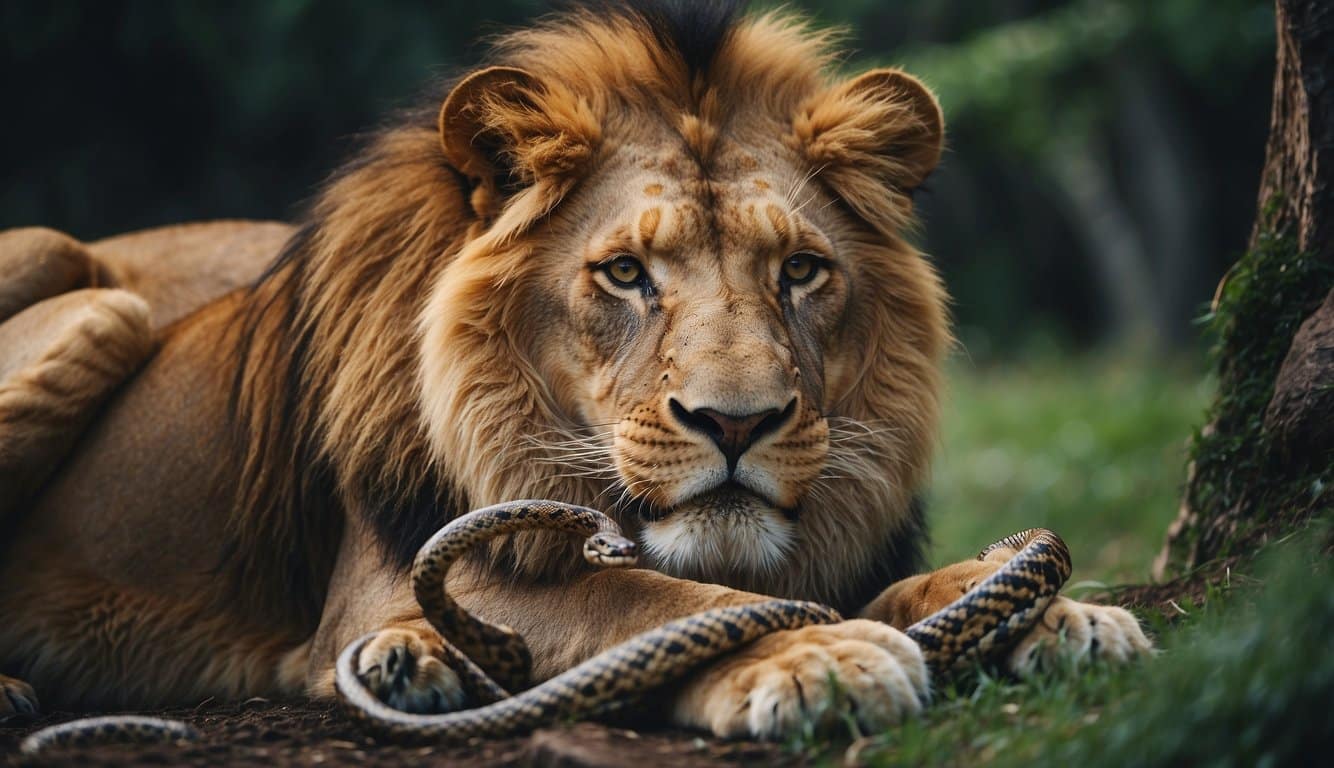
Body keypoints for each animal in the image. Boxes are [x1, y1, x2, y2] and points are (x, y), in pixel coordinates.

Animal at [0, 1, 1150, 737]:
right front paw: (813, 655)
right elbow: (642, 601)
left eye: (800, 270)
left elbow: (891, 585)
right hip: (96, 295)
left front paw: (1051, 611)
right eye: (627, 273)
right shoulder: (385, 578)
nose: (736, 424)